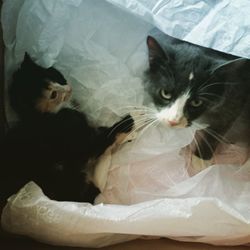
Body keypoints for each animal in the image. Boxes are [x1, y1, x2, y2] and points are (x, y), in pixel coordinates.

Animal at [143, 32, 250, 160]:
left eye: (197, 102)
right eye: (165, 93)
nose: (173, 121)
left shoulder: (235, 97)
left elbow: (219, 128)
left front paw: (201, 156)